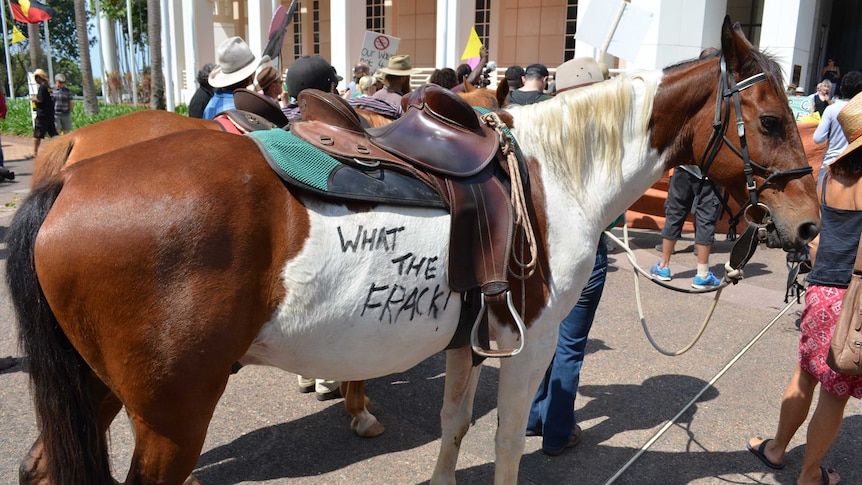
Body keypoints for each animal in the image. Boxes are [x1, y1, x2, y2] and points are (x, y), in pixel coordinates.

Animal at [6, 17, 824, 482]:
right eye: (772, 119)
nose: (813, 227)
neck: (555, 177)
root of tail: (69, 177)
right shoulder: (531, 345)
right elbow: (505, 443)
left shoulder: (472, 338)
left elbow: (455, 423)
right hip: (170, 414)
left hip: (99, 389)